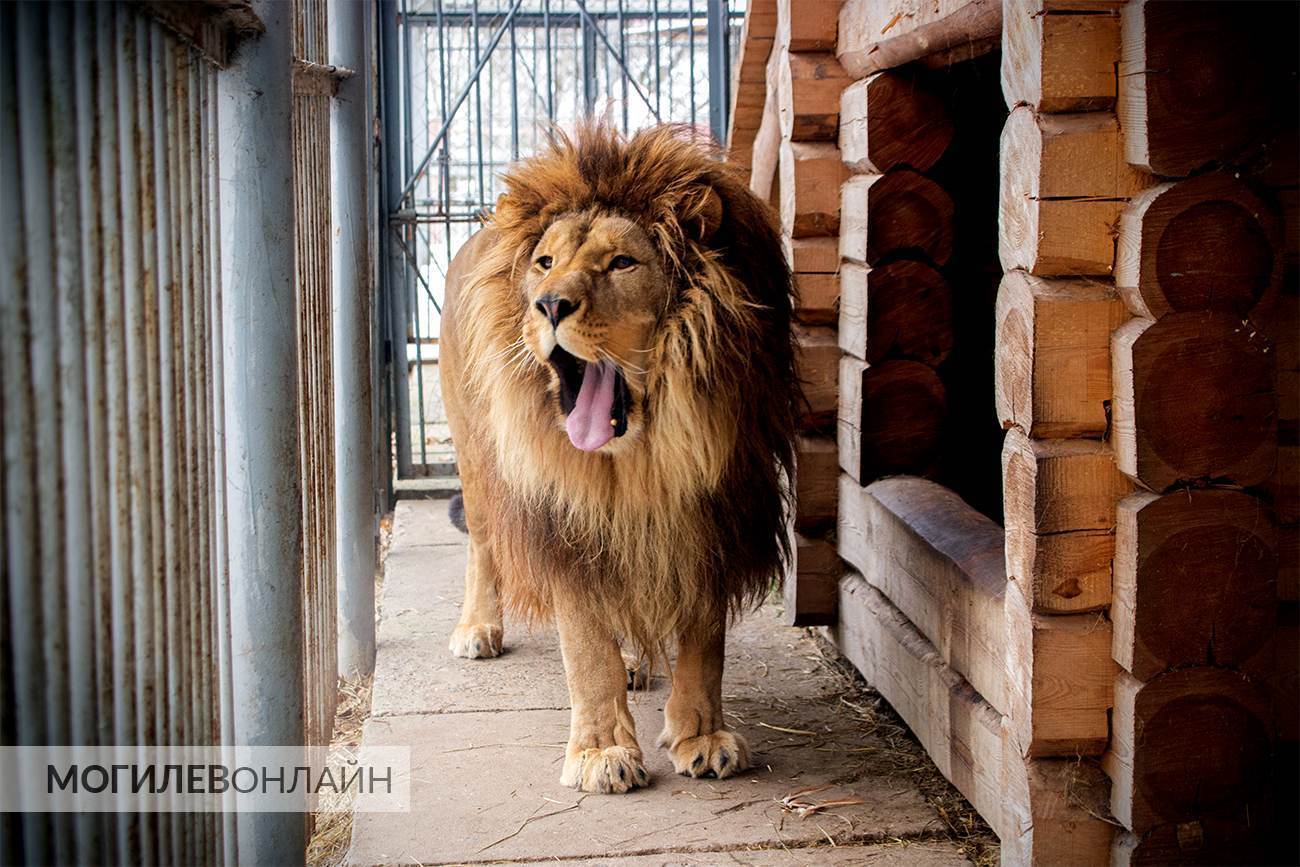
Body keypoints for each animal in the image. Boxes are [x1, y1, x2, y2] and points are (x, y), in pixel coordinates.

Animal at [438, 124, 798, 794]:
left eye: (621, 263)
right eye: (545, 263)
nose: (549, 305)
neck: (641, 460)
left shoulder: (710, 513)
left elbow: (704, 641)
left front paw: (701, 735)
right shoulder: (567, 524)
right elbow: (585, 649)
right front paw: (601, 750)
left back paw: (635, 661)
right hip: (475, 459)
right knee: (483, 544)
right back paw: (478, 628)